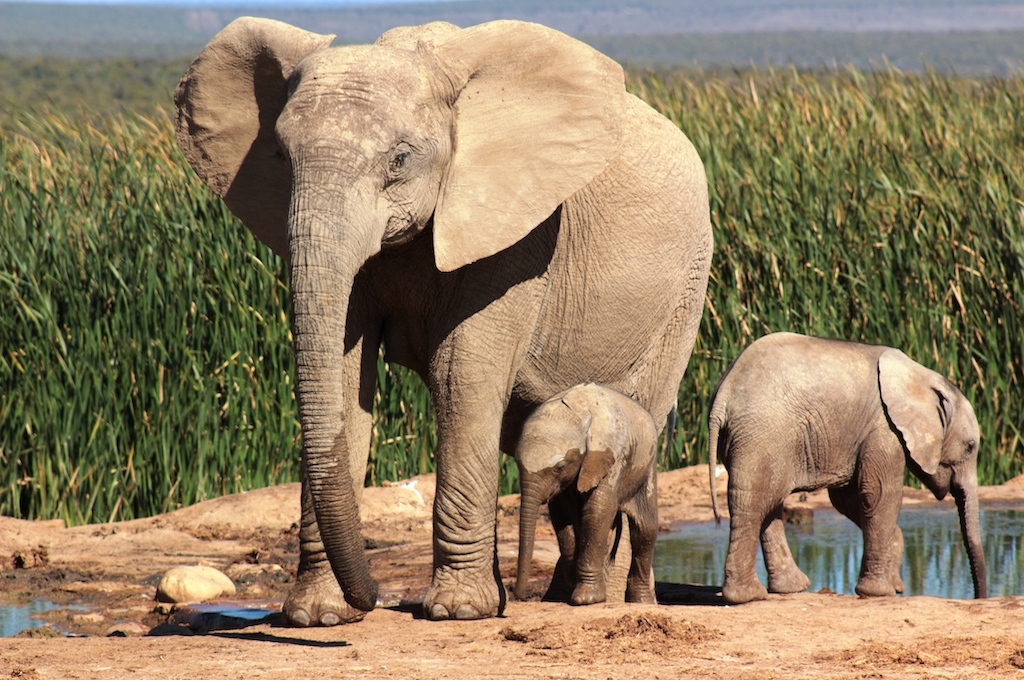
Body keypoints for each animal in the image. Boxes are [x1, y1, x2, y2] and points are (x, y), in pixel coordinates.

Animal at [516, 383, 659, 606]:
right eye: (516, 461)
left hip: (646, 467)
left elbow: (598, 509)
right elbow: (562, 515)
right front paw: (573, 581)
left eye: (560, 466)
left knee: (644, 529)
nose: (519, 597)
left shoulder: (610, 456)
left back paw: (641, 602)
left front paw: (586, 599)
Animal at [708, 331, 987, 602]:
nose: (978, 598)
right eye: (970, 446)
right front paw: (881, 592)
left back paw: (789, 588)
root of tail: (722, 397)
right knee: (754, 501)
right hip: (763, 435)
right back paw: (748, 596)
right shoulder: (884, 428)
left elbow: (849, 499)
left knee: (768, 502)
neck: (922, 377)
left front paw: (894, 582)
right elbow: (879, 494)